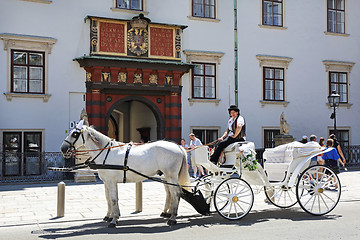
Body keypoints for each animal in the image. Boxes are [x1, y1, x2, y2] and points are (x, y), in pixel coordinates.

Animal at [61, 119, 191, 227]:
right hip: (166, 177)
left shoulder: (111, 181)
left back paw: (172, 218)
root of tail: (178, 146)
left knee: (176, 193)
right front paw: (109, 216)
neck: (105, 152)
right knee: (170, 193)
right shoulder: (106, 182)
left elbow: (113, 199)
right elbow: (108, 198)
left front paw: (114, 220)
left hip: (171, 176)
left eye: (75, 134)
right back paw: (168, 213)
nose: (63, 149)